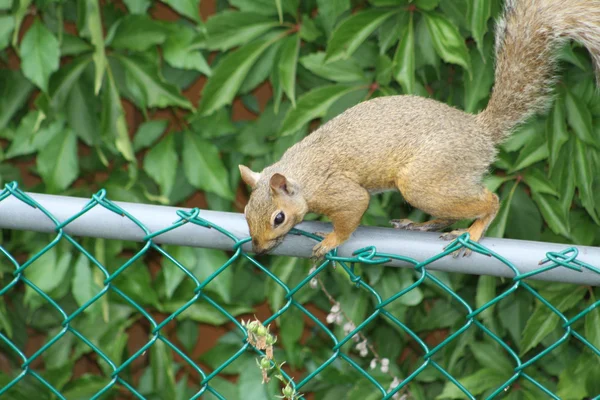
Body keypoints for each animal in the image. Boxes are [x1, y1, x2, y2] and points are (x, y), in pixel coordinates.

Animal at [237, 0, 600, 260]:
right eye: (245, 212)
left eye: (278, 218)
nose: (258, 248)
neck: (301, 173)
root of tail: (480, 132)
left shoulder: (337, 190)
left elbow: (353, 211)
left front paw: (330, 241)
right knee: (451, 211)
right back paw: (421, 224)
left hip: (427, 179)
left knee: (490, 200)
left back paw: (472, 232)